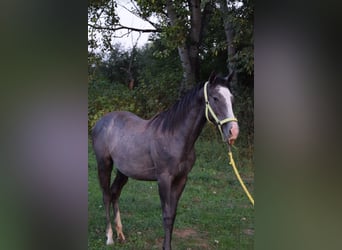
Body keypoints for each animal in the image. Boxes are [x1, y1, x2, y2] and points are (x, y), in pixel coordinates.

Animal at [92, 71, 239, 249]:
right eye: (216, 98)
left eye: (231, 98)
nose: (233, 132)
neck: (175, 136)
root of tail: (99, 122)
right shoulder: (164, 179)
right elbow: (167, 214)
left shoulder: (181, 179)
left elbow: (173, 214)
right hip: (104, 164)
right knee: (106, 195)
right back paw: (109, 237)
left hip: (123, 171)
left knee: (115, 193)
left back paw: (121, 235)